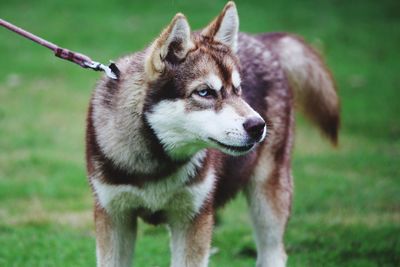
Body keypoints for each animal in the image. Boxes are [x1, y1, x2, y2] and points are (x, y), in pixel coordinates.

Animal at [86, 1, 340, 266]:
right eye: (205, 92)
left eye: (238, 90)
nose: (258, 126)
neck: (156, 164)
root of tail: (261, 39)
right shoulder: (115, 216)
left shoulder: (193, 219)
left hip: (267, 199)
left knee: (274, 252)